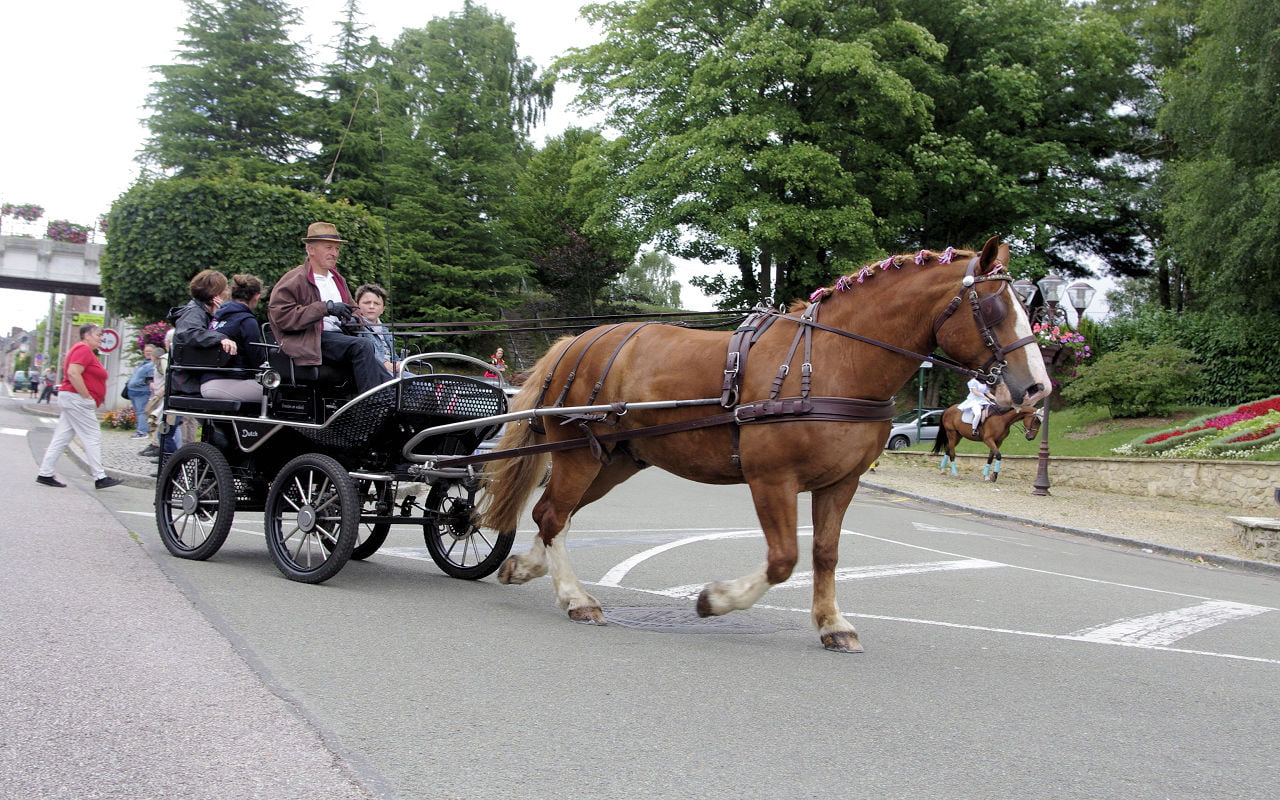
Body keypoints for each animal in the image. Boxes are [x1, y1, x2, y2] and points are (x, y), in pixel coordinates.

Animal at [476, 236, 1050, 653]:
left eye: (1030, 309)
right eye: (993, 309)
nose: (1037, 389)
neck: (834, 361)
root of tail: (574, 342)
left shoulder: (841, 483)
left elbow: (825, 553)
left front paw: (831, 623)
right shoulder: (771, 479)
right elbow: (783, 559)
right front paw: (716, 600)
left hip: (615, 461)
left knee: (554, 515)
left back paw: (527, 568)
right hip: (578, 455)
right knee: (554, 515)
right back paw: (575, 597)